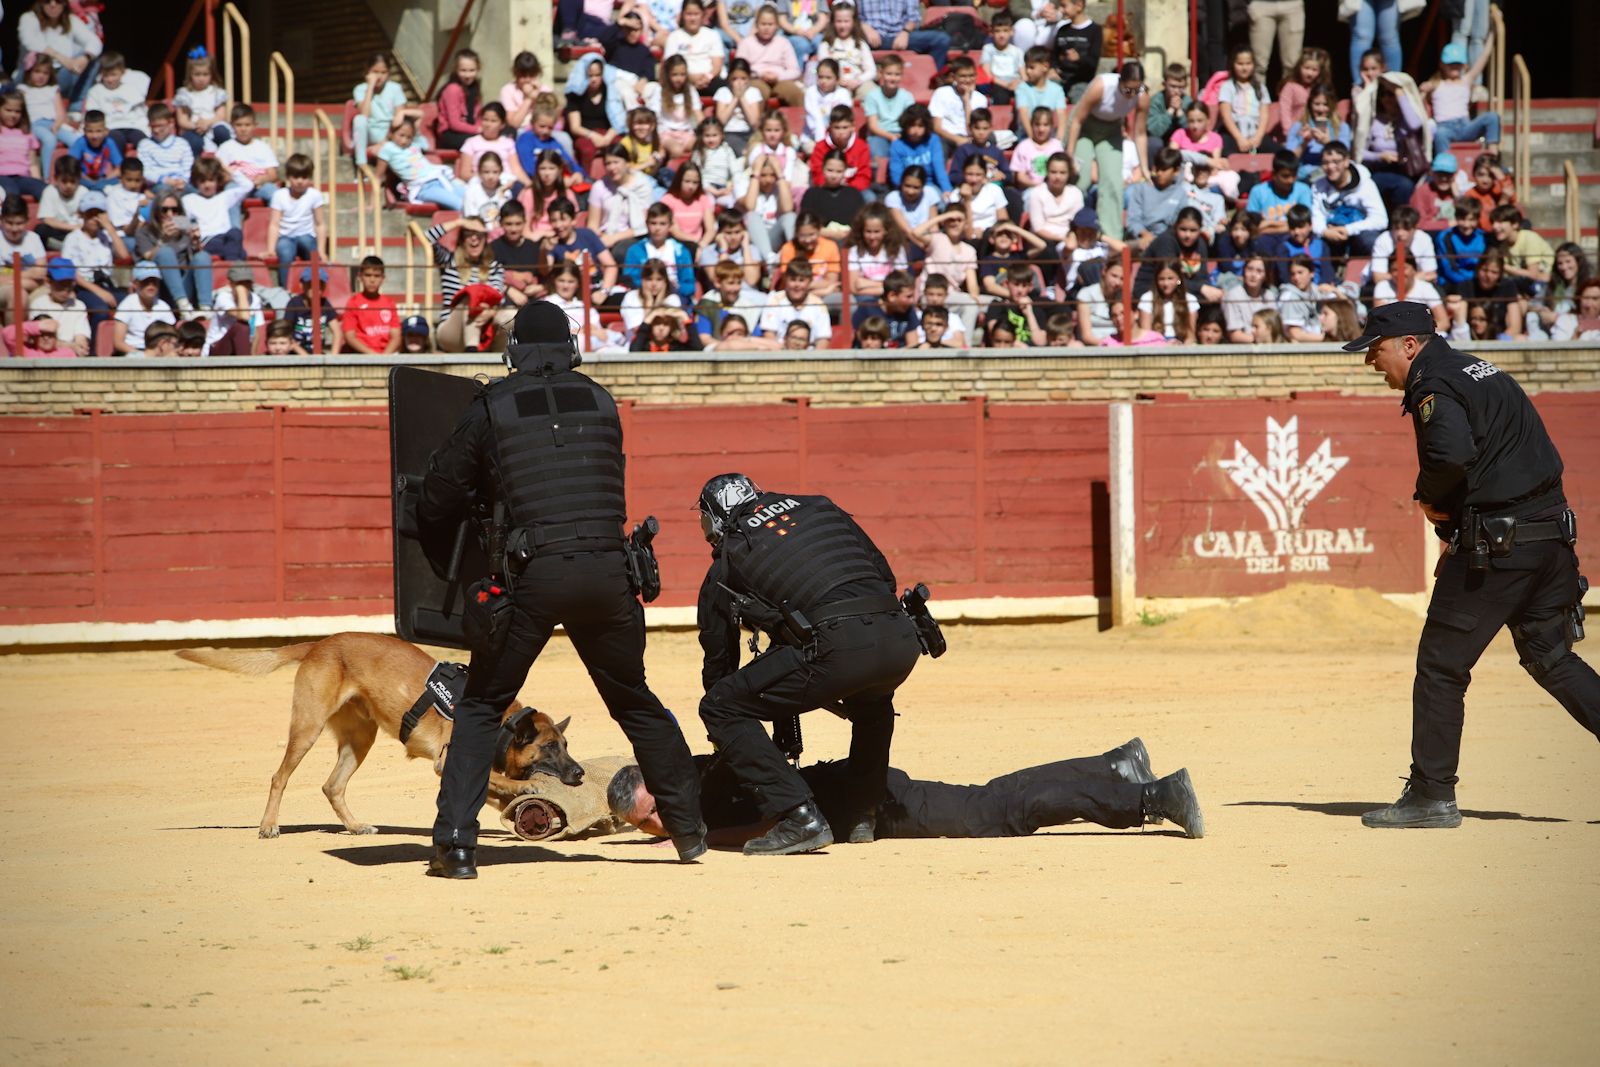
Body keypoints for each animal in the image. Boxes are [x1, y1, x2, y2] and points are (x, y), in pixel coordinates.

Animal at [176, 633, 588, 831]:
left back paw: (356, 827)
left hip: (359, 739)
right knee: (280, 777)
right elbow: (499, 780)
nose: (580, 773)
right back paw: (268, 826)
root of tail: (320, 643)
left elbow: (491, 789)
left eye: (567, 744)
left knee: (332, 786)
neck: (502, 723)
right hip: (307, 727)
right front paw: (523, 787)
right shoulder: (448, 762)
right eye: (550, 747)